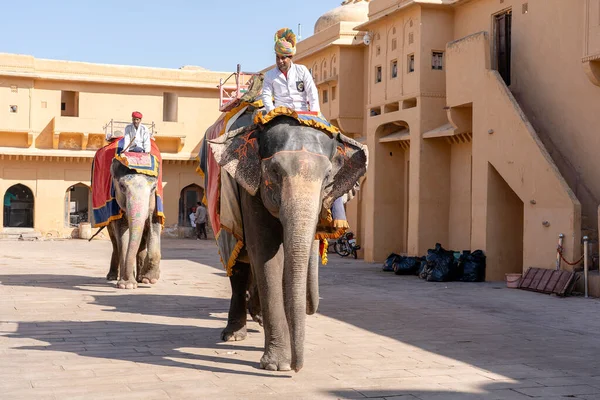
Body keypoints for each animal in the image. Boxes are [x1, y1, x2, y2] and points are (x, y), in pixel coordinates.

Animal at [105, 155, 162, 288]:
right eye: (122, 186)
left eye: (153, 188)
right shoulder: (116, 207)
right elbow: (122, 235)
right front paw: (127, 285)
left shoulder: (155, 203)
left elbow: (154, 227)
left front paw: (149, 279)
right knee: (115, 243)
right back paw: (112, 277)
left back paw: (140, 278)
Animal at [209, 115, 368, 372]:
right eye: (274, 171)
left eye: (328, 177)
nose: (297, 366)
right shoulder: (251, 190)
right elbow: (265, 252)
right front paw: (278, 365)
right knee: (239, 261)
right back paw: (234, 335)